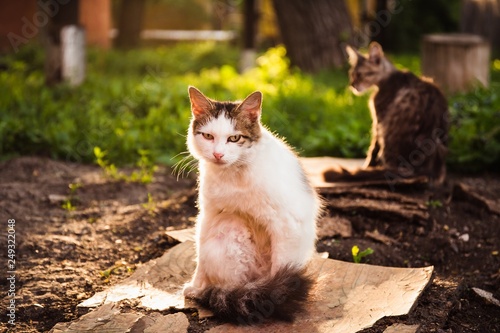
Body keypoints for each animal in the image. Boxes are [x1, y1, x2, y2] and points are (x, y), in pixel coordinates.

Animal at [183, 87, 320, 322]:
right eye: (208, 136)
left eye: (234, 138)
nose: (218, 154)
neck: (234, 176)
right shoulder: (209, 214)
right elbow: (200, 258)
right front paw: (196, 286)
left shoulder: (286, 224)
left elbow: (280, 268)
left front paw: (276, 295)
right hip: (228, 226)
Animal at [324, 41, 450, 188]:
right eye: (352, 74)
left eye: (360, 74)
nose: (352, 85)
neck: (388, 77)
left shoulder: (378, 120)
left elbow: (373, 148)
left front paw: (367, 166)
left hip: (388, 133)